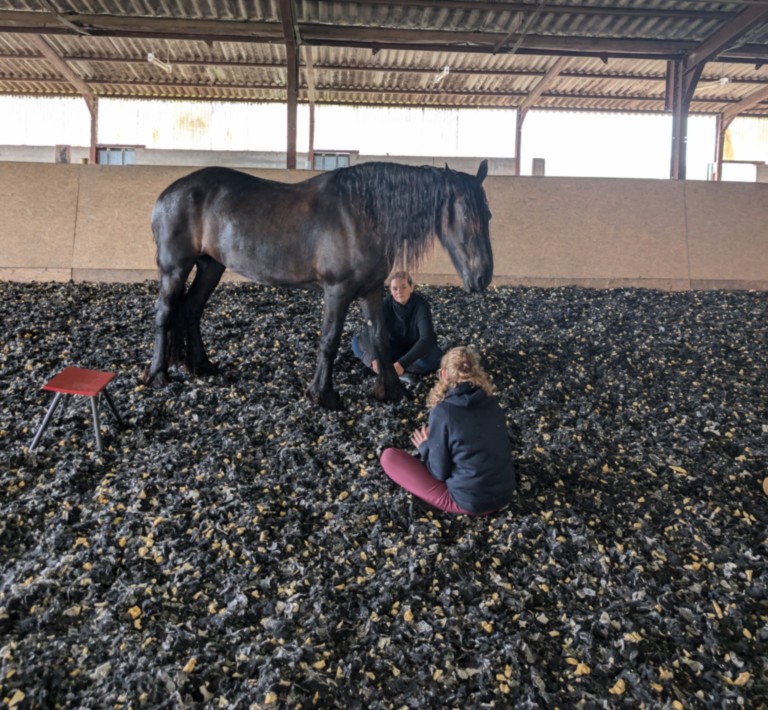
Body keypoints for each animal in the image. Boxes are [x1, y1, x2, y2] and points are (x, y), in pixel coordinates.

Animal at [142, 160, 493, 409]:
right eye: (466, 215)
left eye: (488, 215)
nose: (483, 277)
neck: (362, 215)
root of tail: (166, 195)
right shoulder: (337, 292)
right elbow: (329, 340)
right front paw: (322, 395)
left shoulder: (371, 291)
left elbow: (380, 338)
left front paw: (391, 390)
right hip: (175, 269)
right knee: (164, 314)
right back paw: (158, 375)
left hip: (210, 266)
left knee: (191, 310)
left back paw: (202, 366)